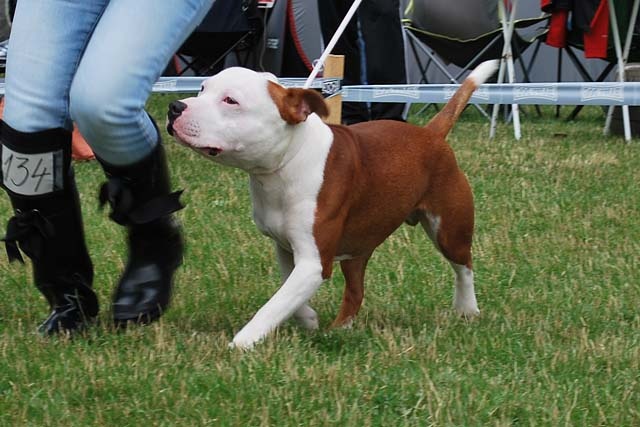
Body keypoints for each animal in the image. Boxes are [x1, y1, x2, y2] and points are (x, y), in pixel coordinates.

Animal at [168, 60, 498, 350]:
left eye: (231, 101)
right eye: (202, 88)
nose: (175, 107)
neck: (287, 161)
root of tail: (431, 133)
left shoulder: (314, 260)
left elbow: (273, 304)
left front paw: (243, 342)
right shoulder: (287, 248)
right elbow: (287, 290)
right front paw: (308, 318)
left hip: (449, 230)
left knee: (464, 267)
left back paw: (467, 309)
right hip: (357, 248)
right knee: (356, 291)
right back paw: (339, 329)